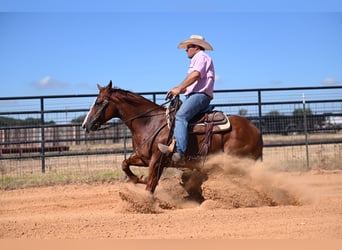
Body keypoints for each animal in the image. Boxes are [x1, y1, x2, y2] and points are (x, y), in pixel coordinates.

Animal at [82, 80, 262, 195]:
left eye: (99, 102)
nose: (85, 125)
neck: (149, 123)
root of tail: (255, 130)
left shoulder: (157, 159)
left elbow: (152, 182)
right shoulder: (144, 157)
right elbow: (125, 164)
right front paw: (139, 179)